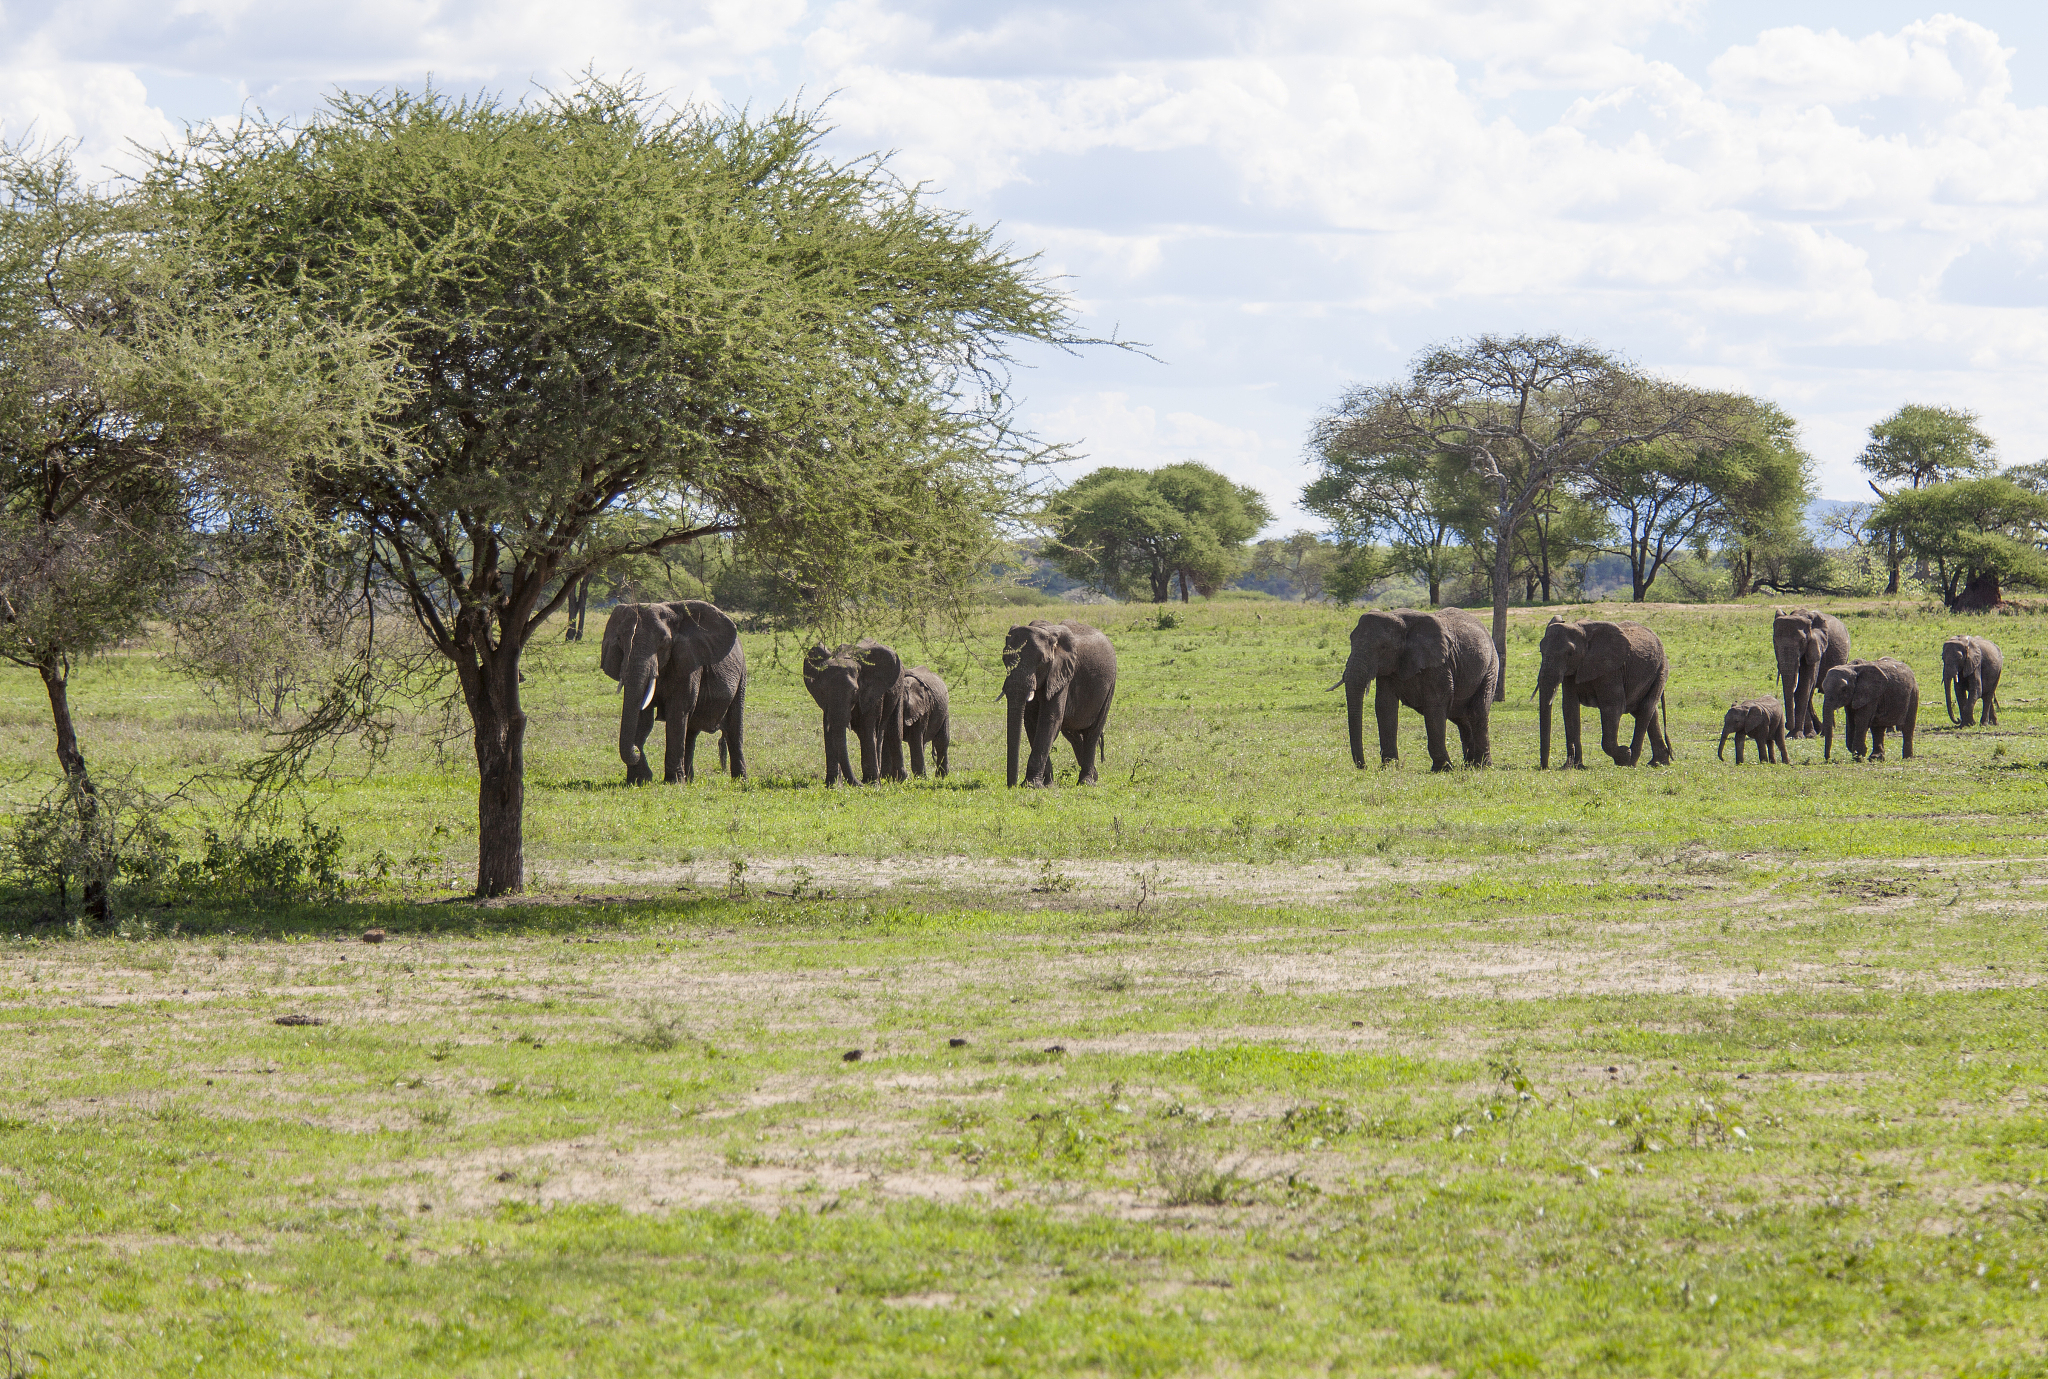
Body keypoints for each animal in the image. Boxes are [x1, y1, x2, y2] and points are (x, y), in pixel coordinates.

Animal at [599, 600, 746, 784]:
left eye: (664, 641)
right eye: (619, 639)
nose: (636, 750)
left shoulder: (688, 664)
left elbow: (677, 712)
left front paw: (673, 782)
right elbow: (642, 717)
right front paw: (639, 780)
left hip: (742, 676)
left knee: (733, 730)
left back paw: (739, 781)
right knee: (690, 733)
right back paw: (689, 779)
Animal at [1000, 620, 1117, 787]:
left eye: (1042, 662)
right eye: (1004, 659)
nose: (1012, 786)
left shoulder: (1062, 673)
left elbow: (1050, 719)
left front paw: (1031, 786)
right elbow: (1031, 721)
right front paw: (1047, 785)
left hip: (1109, 687)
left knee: (1093, 732)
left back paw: (1087, 782)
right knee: (1072, 734)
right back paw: (1094, 776)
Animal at [1332, 607, 1497, 772]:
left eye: (1383, 647)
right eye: (1351, 640)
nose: (1364, 766)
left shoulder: (1439, 665)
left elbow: (1434, 706)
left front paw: (1442, 769)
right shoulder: (1389, 669)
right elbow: (1385, 706)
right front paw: (1389, 767)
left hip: (1490, 668)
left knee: (1477, 712)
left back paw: (1481, 765)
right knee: (1461, 719)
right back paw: (1469, 765)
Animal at [1537, 618, 1672, 768]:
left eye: (1570, 653)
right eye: (1541, 650)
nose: (1545, 768)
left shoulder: (1611, 669)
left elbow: (1612, 708)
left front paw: (1624, 755)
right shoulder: (1572, 671)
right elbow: (1570, 708)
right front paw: (1574, 767)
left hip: (1661, 669)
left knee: (1645, 709)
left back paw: (1631, 762)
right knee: (1648, 712)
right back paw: (1658, 763)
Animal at [1773, 608, 1851, 738]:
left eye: (1803, 641)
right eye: (1774, 641)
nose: (1786, 725)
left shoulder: (1816, 646)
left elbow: (1805, 683)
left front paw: (1797, 735)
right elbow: (1799, 687)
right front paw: (1802, 734)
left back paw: (1823, 732)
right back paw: (1818, 730)